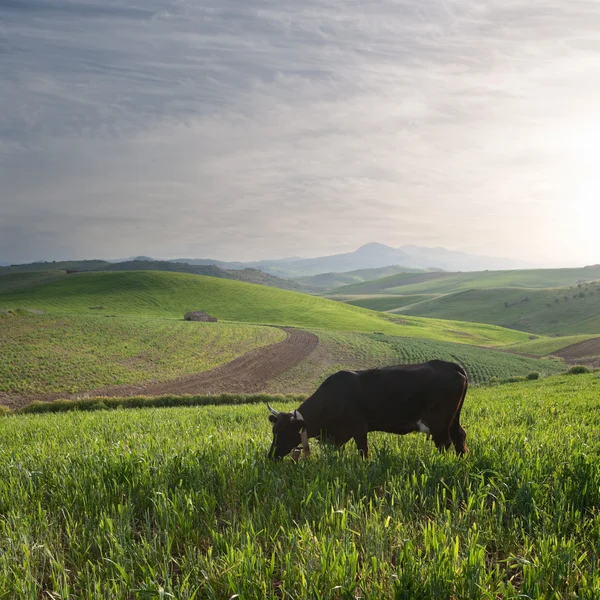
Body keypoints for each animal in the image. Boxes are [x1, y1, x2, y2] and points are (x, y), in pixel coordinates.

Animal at [268, 360, 468, 460]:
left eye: (286, 432)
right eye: (274, 431)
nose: (270, 456)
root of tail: (450, 365)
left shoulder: (358, 429)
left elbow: (363, 452)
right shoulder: (338, 437)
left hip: (439, 422)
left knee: (444, 443)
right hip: (453, 420)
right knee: (459, 436)